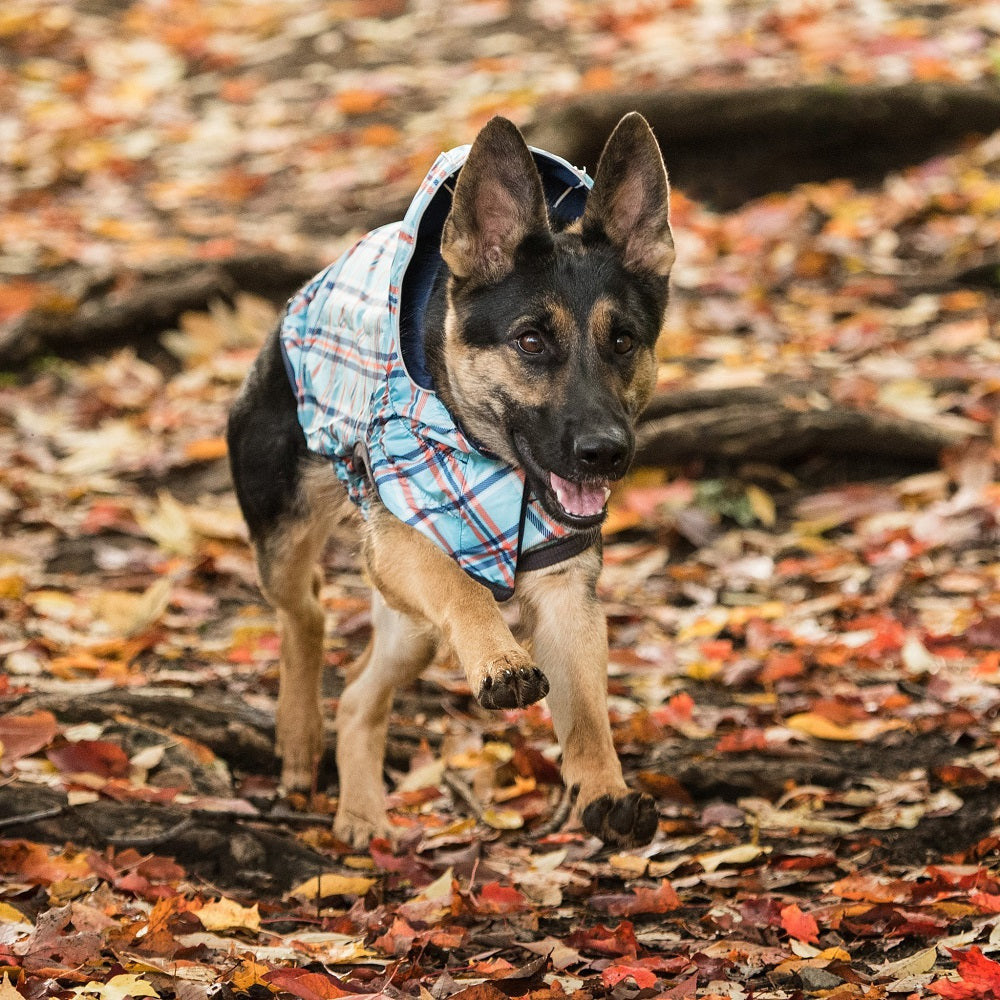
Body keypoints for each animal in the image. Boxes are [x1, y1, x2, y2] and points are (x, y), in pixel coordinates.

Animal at [230, 113, 676, 848]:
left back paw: (359, 810)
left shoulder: (564, 587)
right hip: (293, 539)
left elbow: (587, 711)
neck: (499, 464)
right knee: (306, 610)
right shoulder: (407, 540)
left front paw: (604, 789)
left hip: (411, 627)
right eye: (530, 342)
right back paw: (298, 736)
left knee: (358, 697)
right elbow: (466, 590)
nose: (605, 454)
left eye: (623, 341)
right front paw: (500, 658)